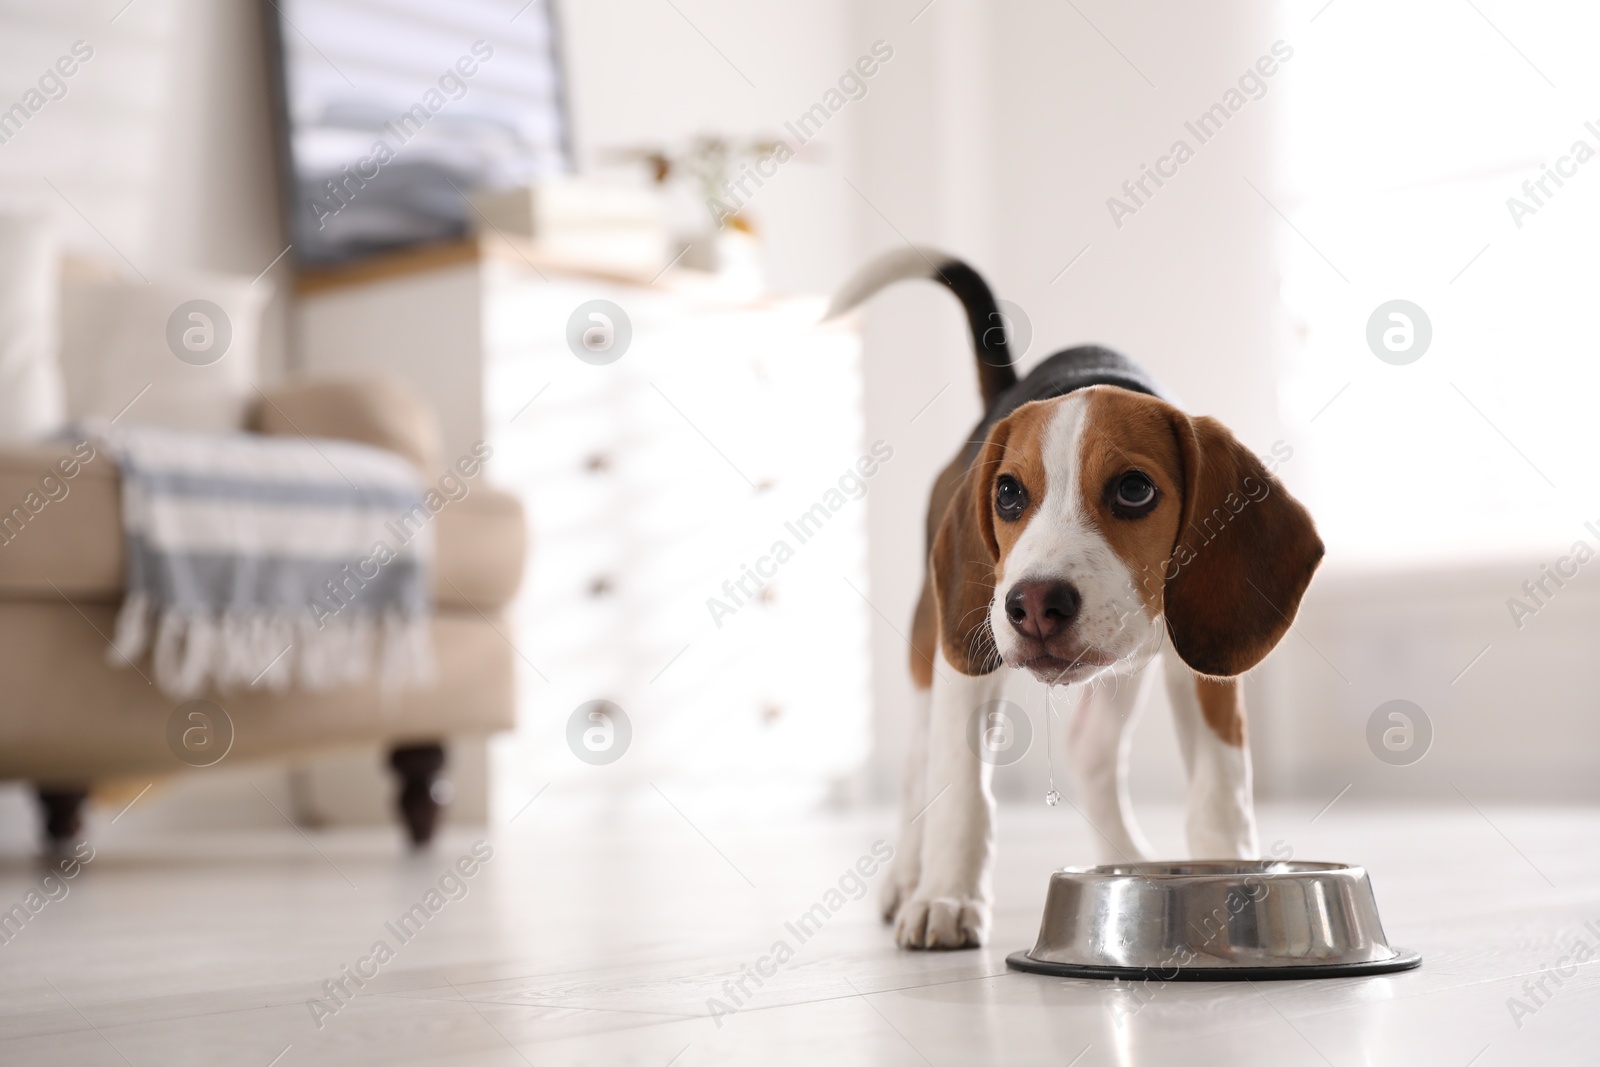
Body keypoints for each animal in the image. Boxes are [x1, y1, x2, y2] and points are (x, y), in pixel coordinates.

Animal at [832, 247, 1318, 953]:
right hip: (933, 644)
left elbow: (1219, 789)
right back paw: (906, 877)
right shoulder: (967, 665)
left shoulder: (1204, 671)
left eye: (1135, 490)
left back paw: (1129, 864)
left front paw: (1229, 874)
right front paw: (946, 895)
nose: (1034, 603)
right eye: (1008, 494)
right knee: (918, 766)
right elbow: (962, 792)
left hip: (1125, 675)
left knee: (1091, 755)